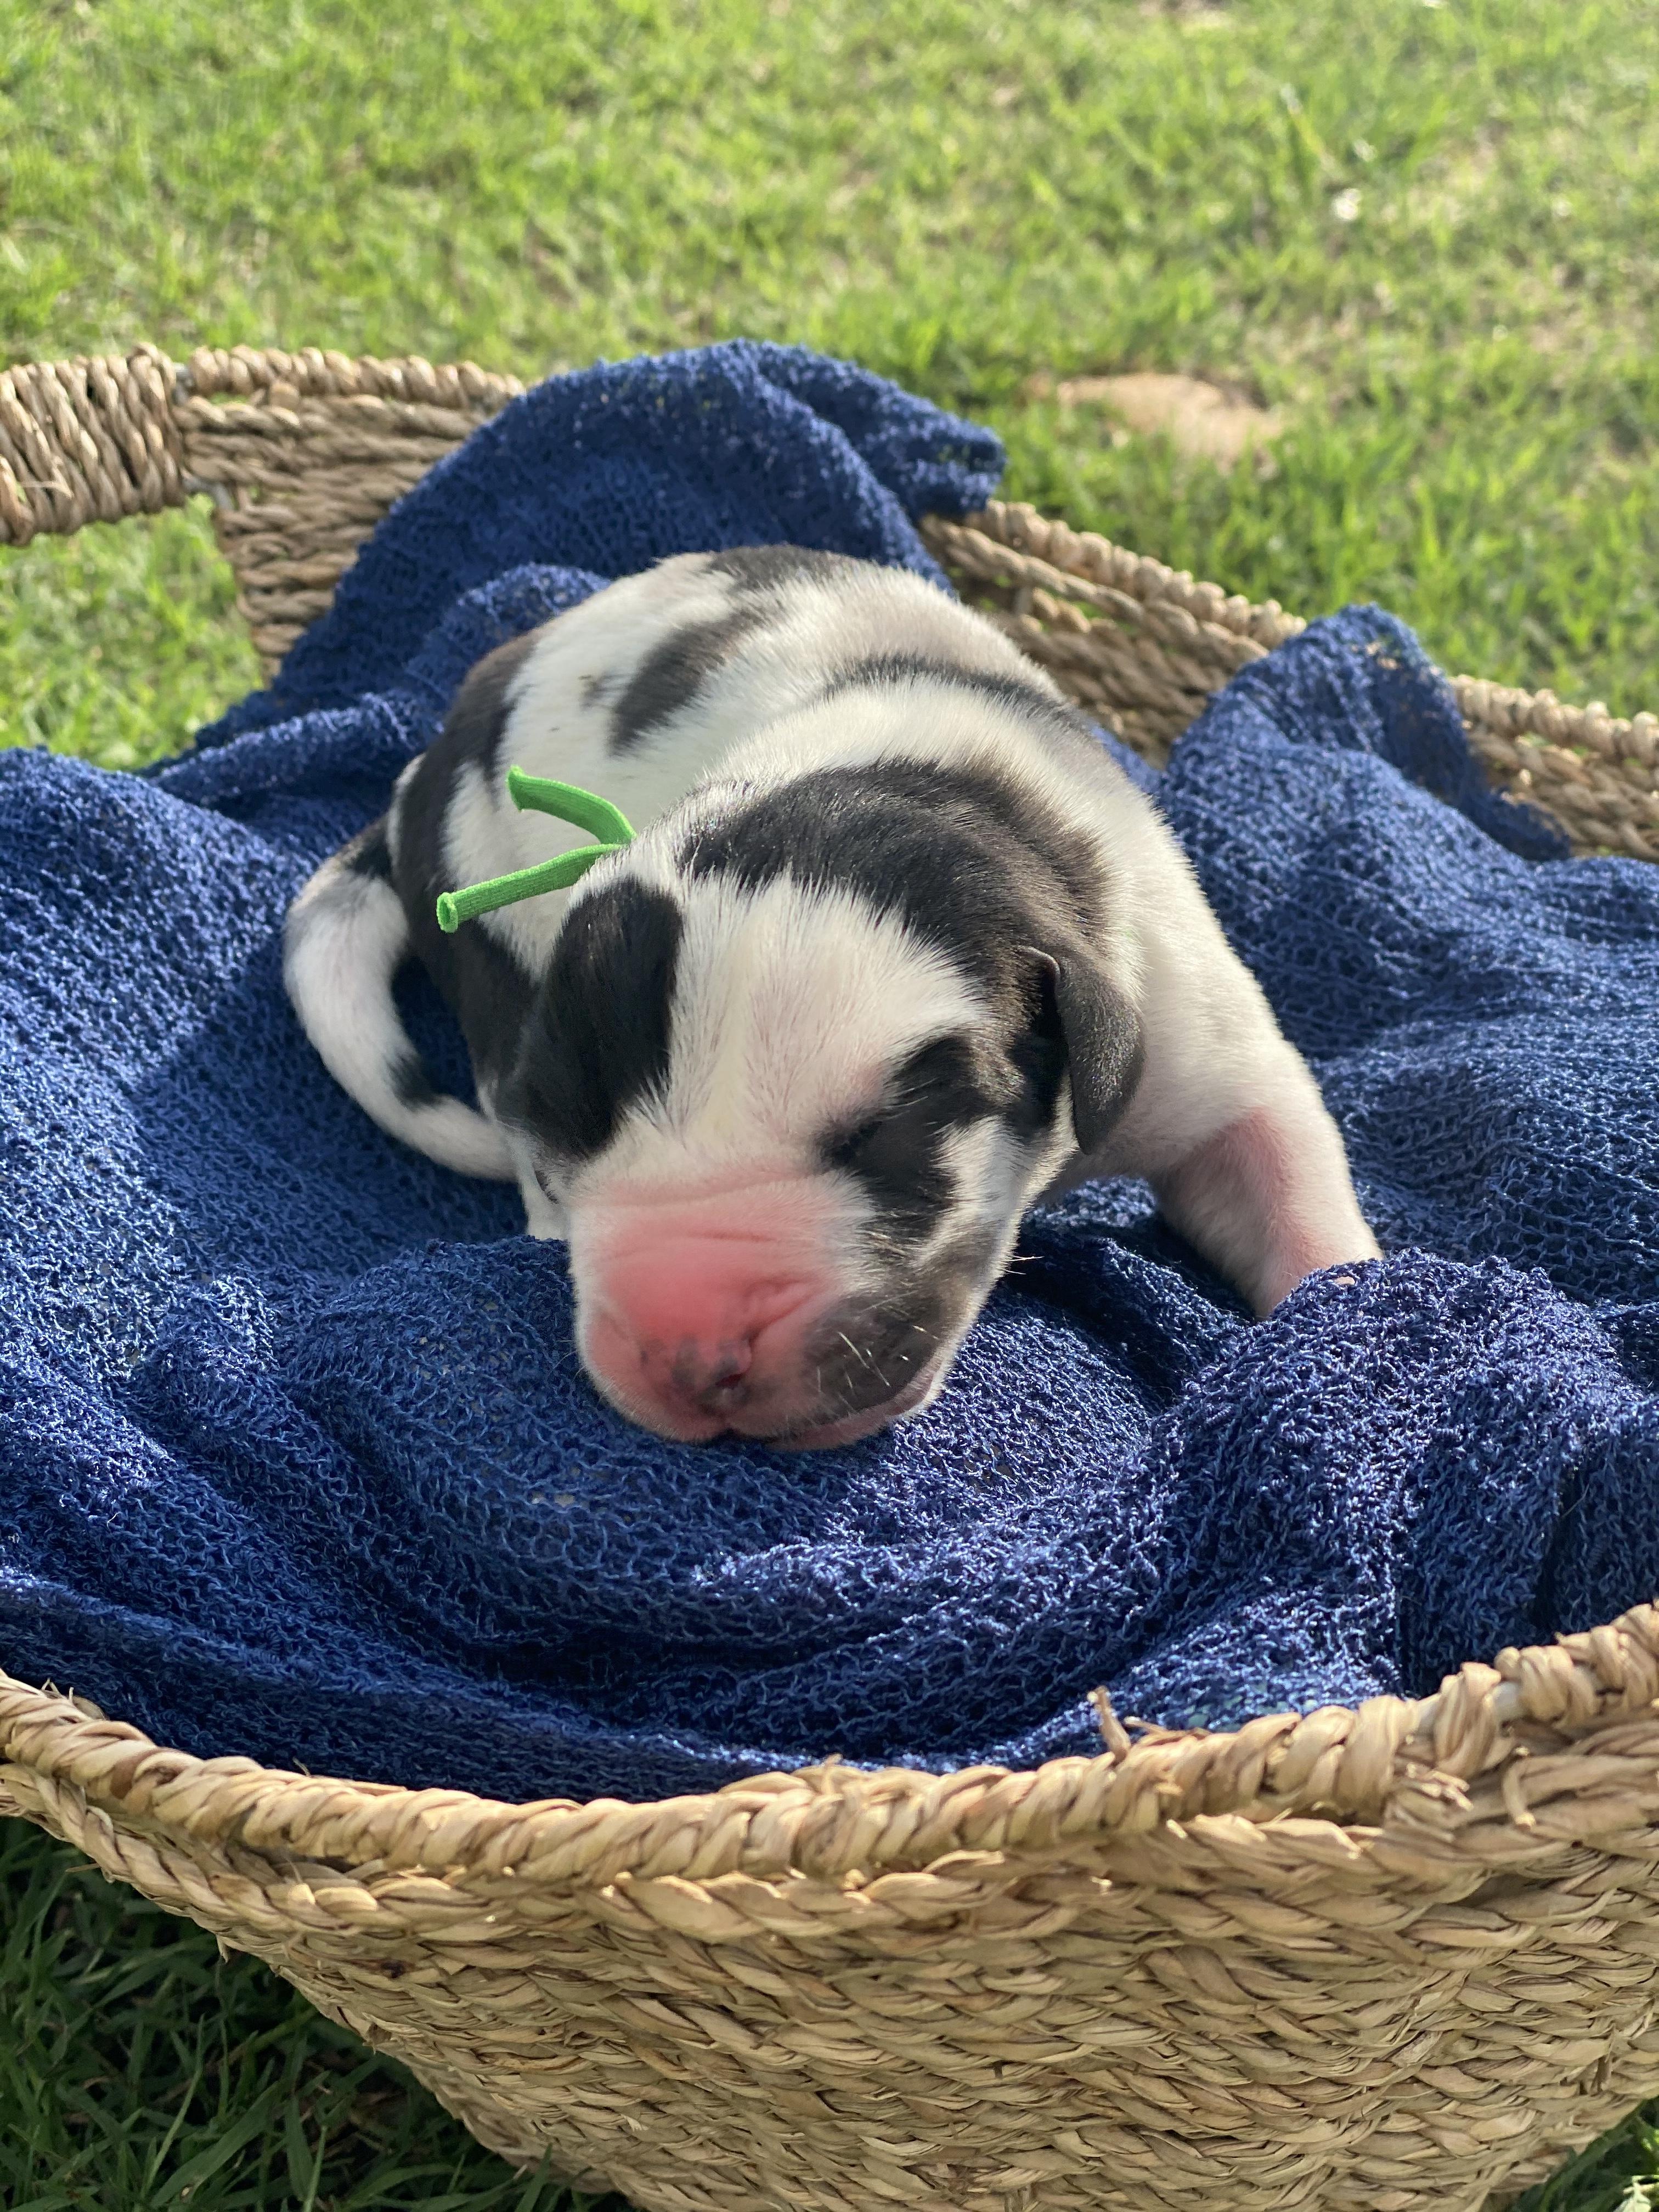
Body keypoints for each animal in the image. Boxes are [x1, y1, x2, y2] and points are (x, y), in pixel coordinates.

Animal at [285, 547, 1381, 1448]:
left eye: (892, 1125)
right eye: (562, 1141)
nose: (687, 1349)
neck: (932, 779)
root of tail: (423, 771)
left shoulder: (1193, 1043)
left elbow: (1288, 1186)